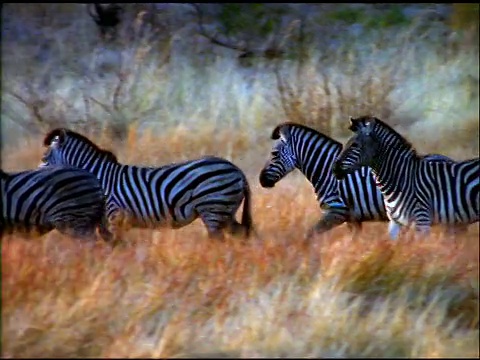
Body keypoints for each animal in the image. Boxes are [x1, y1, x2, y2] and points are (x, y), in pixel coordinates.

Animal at [39, 128, 253, 240]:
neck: (100, 178)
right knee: (244, 234)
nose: (36, 177)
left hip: (213, 208)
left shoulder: (115, 217)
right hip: (226, 211)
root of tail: (236, 169)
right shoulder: (107, 223)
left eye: (44, 158)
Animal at [258, 122, 464, 240]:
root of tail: (449, 160)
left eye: (274, 154)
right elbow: (353, 242)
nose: (261, 181)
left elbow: (310, 234)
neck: (326, 171)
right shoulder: (353, 218)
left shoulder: (337, 211)